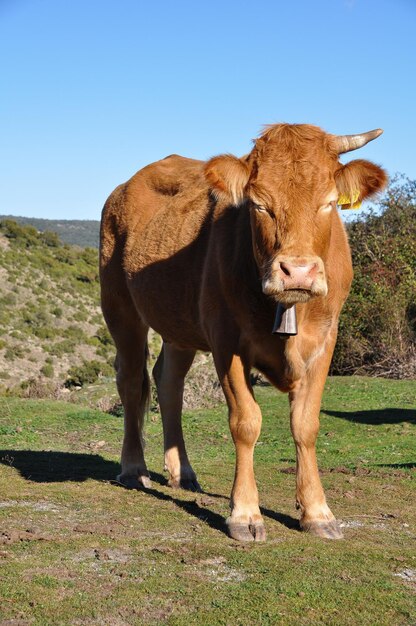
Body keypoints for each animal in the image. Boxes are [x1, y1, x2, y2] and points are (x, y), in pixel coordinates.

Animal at [98, 123, 386, 540]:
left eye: (329, 202)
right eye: (259, 204)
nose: (297, 272)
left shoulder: (325, 340)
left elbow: (306, 424)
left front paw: (317, 512)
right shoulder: (227, 340)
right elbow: (246, 422)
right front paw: (245, 513)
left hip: (179, 324)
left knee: (169, 384)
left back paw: (182, 472)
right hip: (119, 307)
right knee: (132, 380)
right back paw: (134, 468)